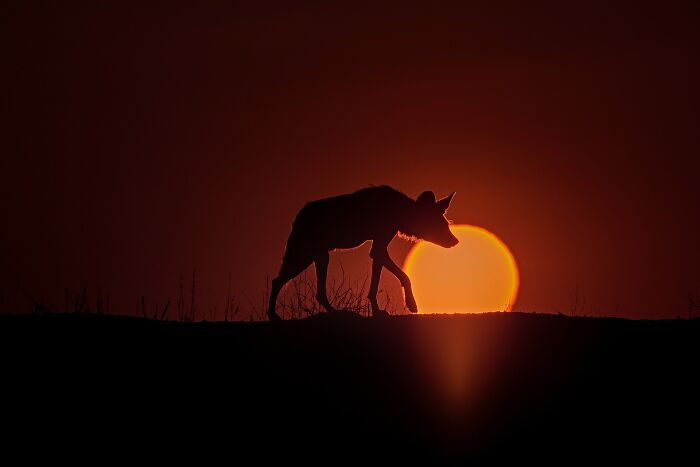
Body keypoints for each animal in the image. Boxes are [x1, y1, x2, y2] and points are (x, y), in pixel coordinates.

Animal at [268, 185, 458, 321]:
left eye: (446, 224)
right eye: (438, 224)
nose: (455, 241)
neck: (398, 210)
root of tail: (299, 217)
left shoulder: (378, 250)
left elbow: (374, 285)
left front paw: (377, 311)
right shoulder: (379, 249)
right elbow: (405, 277)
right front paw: (411, 304)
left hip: (320, 257)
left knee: (317, 293)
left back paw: (336, 313)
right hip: (303, 257)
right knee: (278, 281)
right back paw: (273, 316)